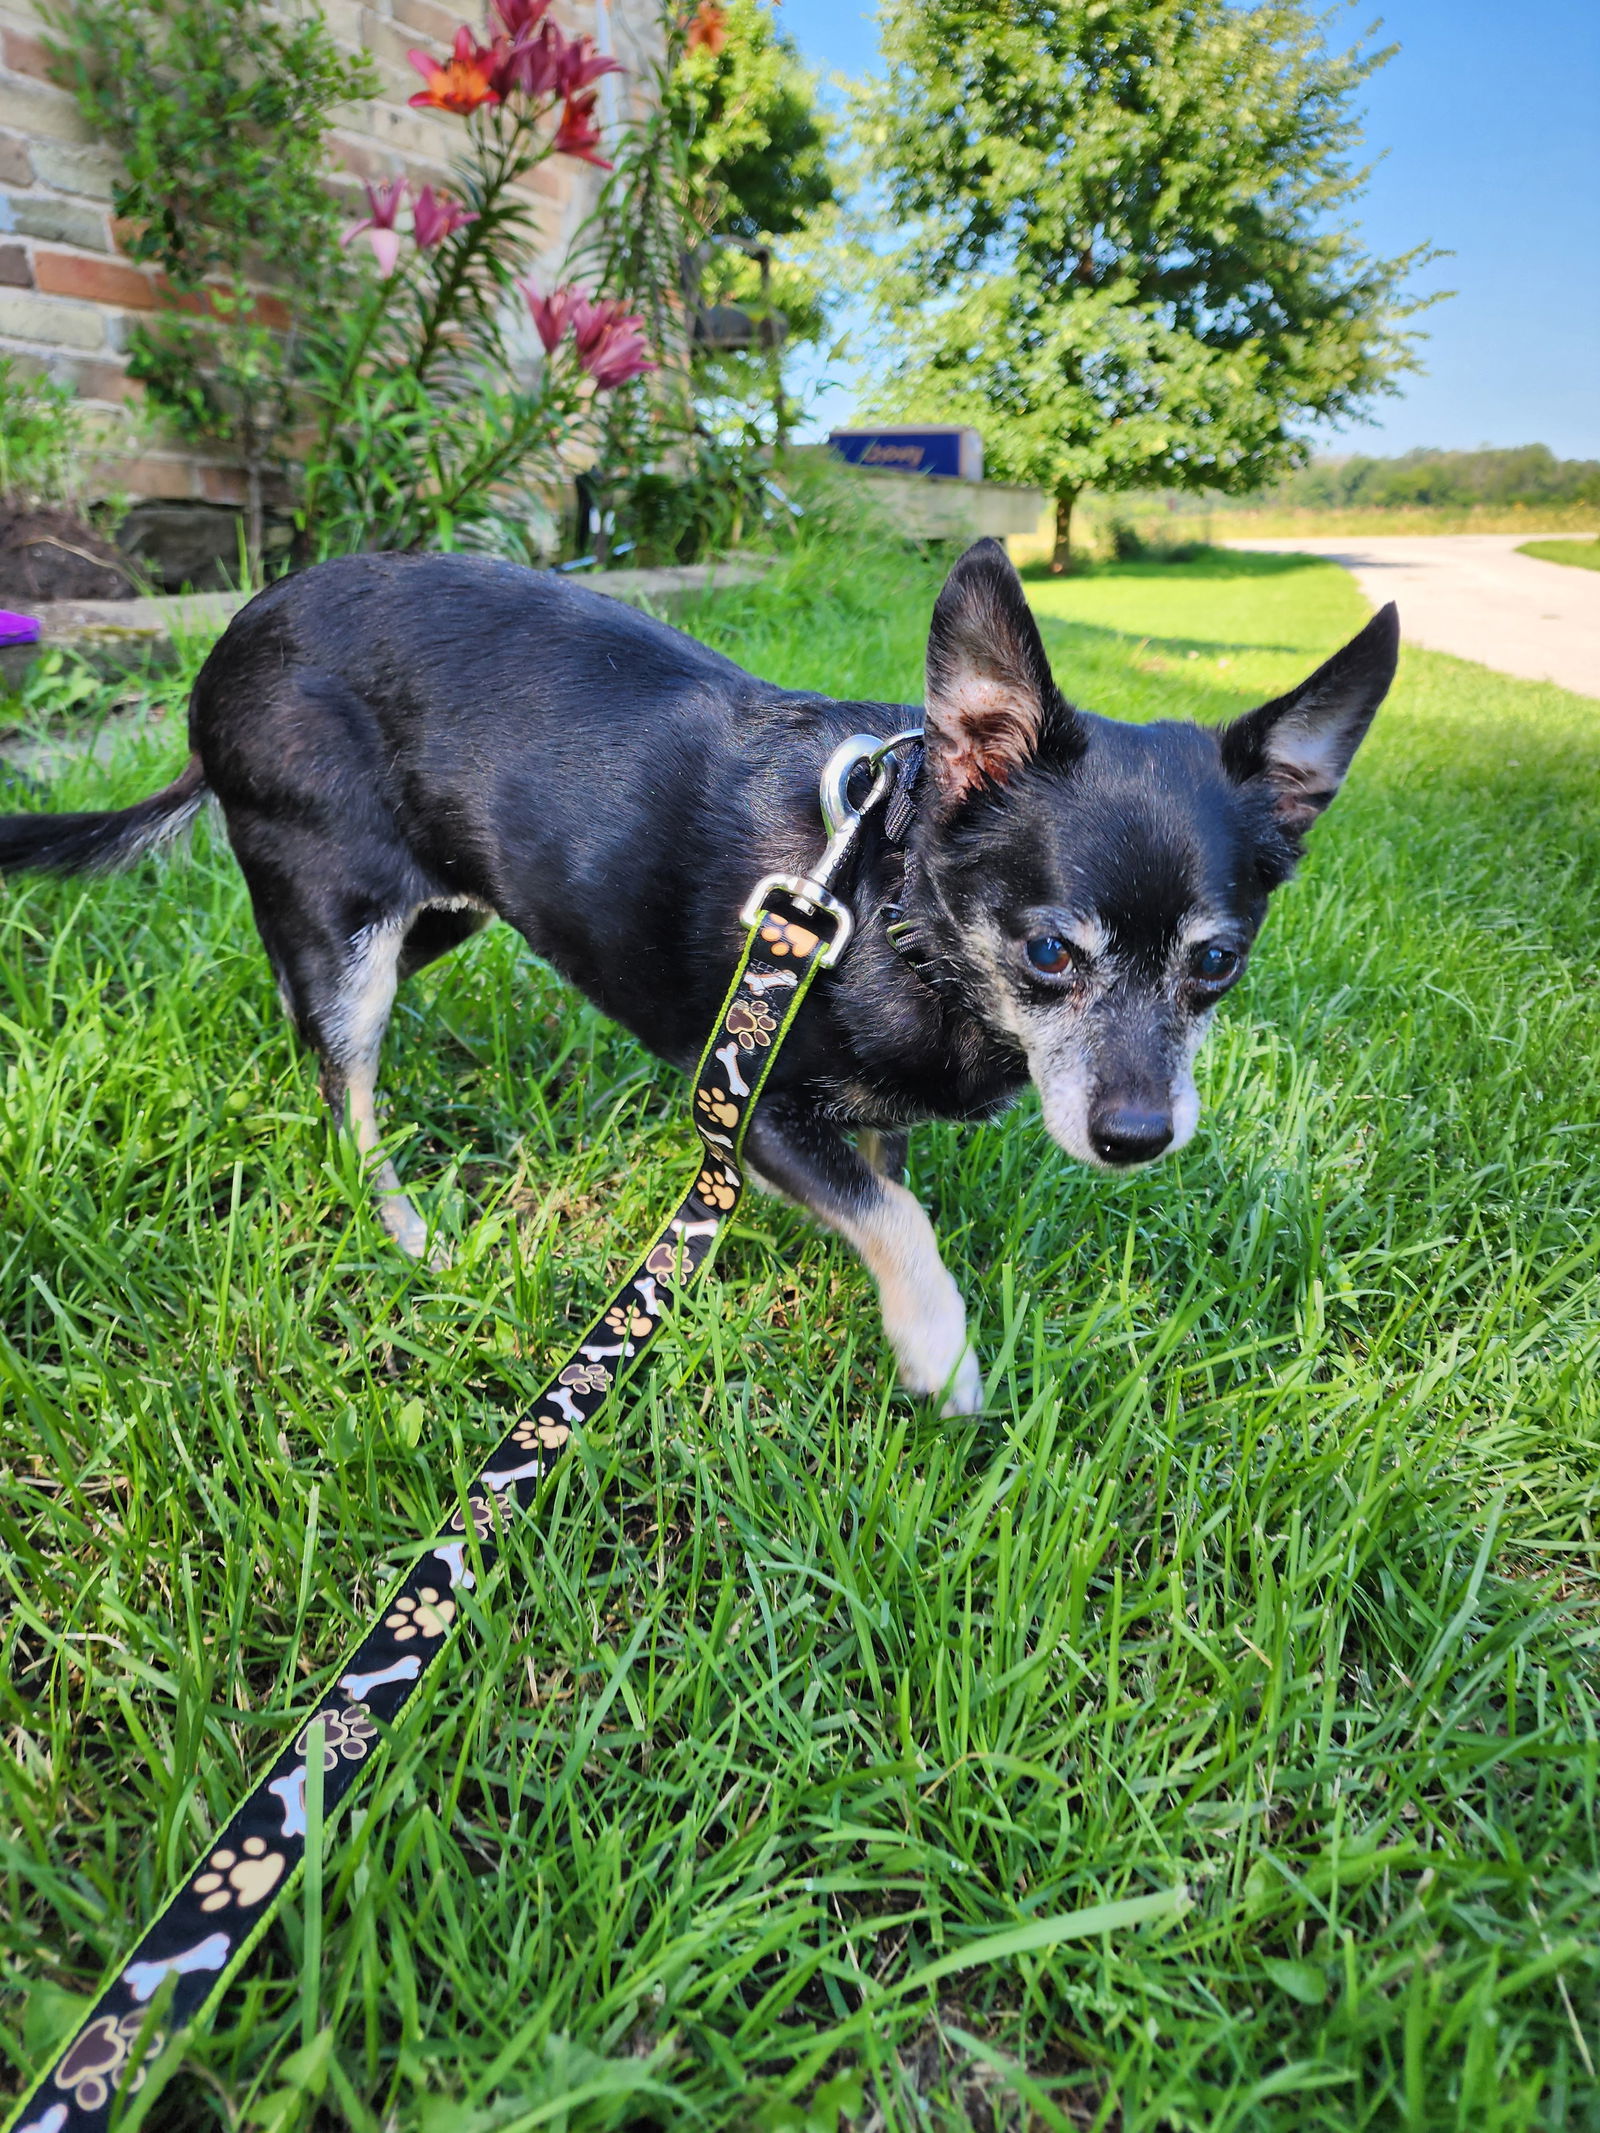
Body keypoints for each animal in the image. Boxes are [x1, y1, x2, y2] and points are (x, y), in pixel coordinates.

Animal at [0, 533, 1399, 1407]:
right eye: (1051, 952)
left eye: (1216, 965)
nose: (1138, 1137)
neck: (896, 909)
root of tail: (228, 645)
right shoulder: (749, 1106)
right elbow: (902, 1222)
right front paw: (938, 1355)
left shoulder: (866, 1116)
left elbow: (888, 1186)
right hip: (346, 925)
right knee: (343, 1088)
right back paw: (407, 1231)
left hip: (438, 908)